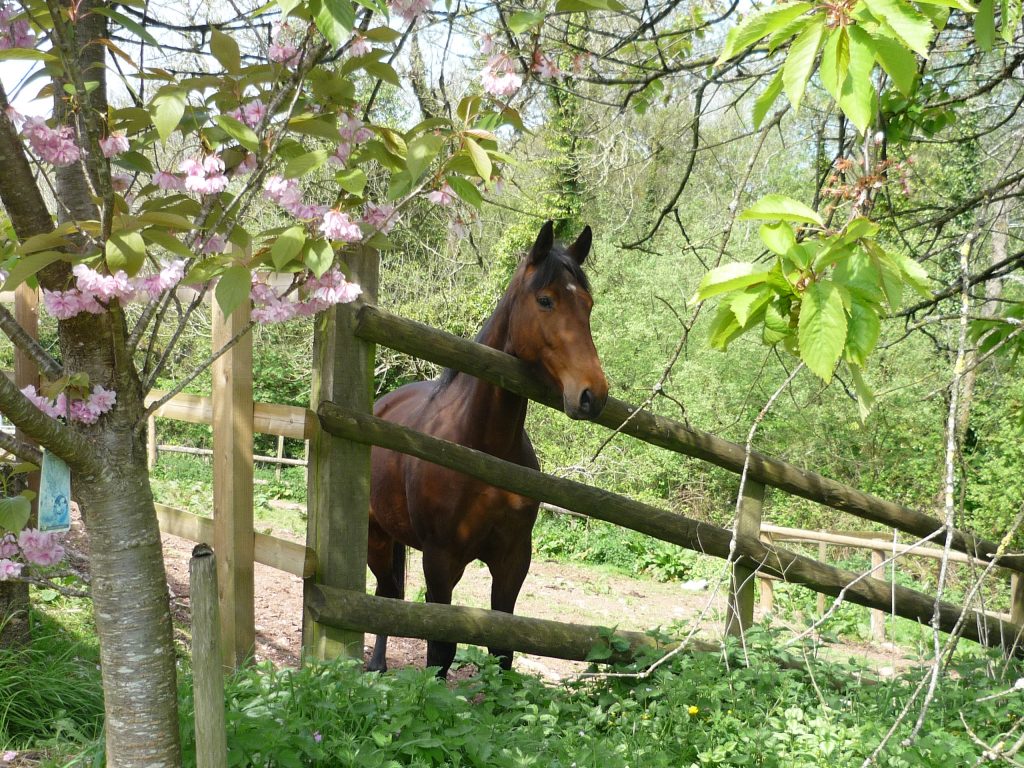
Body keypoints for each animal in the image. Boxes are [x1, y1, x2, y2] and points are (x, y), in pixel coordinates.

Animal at [368, 222, 606, 679]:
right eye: (545, 300)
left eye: (587, 305)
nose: (593, 395)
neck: (483, 450)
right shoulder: (440, 561)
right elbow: (440, 651)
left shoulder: (513, 561)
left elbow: (503, 647)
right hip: (375, 535)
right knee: (384, 594)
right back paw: (374, 664)